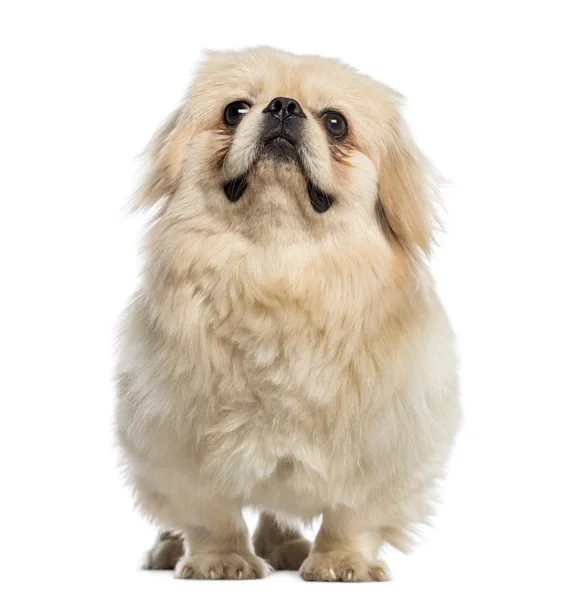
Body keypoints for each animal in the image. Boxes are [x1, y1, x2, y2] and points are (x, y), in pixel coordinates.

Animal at [116, 45, 460, 580]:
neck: (276, 267)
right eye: (235, 110)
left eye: (336, 122)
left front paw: (341, 562)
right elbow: (212, 515)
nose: (282, 107)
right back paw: (171, 551)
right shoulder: (176, 440)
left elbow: (352, 515)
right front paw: (221, 561)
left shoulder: (385, 442)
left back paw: (285, 548)